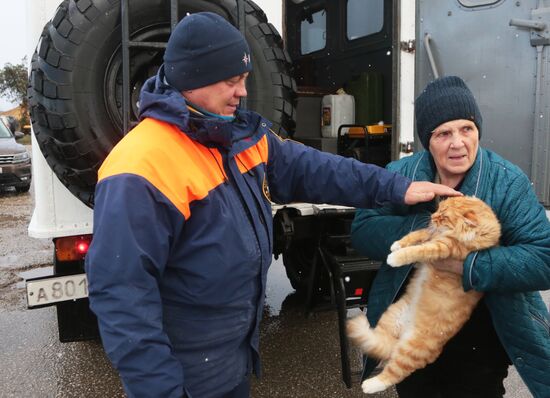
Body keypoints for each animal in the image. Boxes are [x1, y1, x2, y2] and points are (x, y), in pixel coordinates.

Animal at [350, 194, 504, 394]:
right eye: (439, 208)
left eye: (444, 216)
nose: (432, 216)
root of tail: (404, 333)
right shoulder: (432, 234)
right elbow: (417, 234)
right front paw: (397, 244)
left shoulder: (442, 247)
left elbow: (417, 250)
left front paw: (396, 257)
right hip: (390, 319)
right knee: (377, 340)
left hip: (410, 353)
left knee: (393, 372)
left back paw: (371, 384)